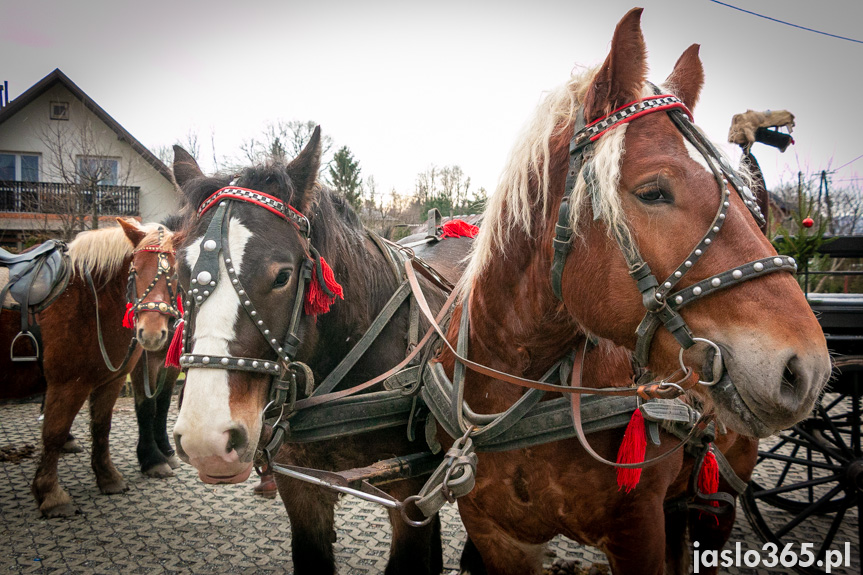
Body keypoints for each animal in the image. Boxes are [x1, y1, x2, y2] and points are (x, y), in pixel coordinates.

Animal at [0, 219, 179, 516]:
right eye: (134, 270)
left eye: (174, 275)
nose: (152, 333)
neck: (88, 297)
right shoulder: (68, 385)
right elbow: (54, 433)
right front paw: (51, 494)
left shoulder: (111, 381)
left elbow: (101, 427)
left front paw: (108, 477)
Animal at [436, 9, 832, 575]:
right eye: (653, 191)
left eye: (747, 198)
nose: (807, 368)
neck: (515, 386)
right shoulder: (498, 536)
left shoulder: (638, 530)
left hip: (720, 500)